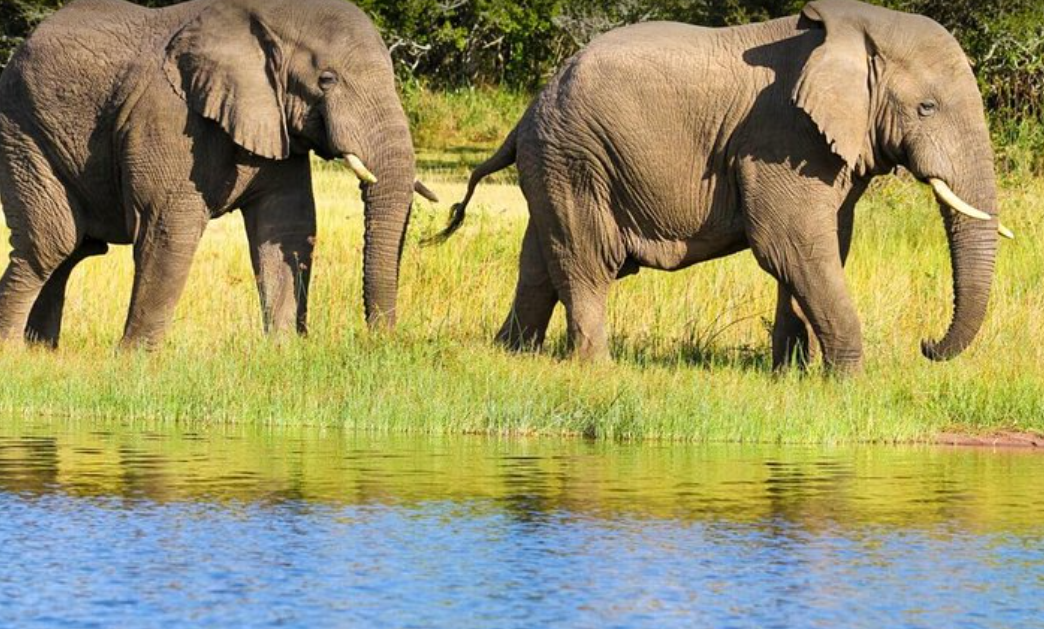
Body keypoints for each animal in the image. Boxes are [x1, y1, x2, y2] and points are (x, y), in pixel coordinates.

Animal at [0, 0, 434, 346]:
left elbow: (286, 226)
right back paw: (14, 355)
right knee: (51, 243)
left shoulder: (272, 117)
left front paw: (283, 350)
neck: (263, 18)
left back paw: (42, 353)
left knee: (72, 250)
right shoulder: (167, 116)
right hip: (22, 130)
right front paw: (135, 363)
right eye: (327, 80)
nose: (379, 341)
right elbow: (169, 227)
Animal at [440, 0, 1010, 371]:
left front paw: (790, 378)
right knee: (586, 263)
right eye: (926, 108)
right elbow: (789, 243)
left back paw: (513, 357)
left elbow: (820, 248)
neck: (855, 29)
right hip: (576, 158)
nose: (926, 346)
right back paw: (596, 371)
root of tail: (527, 112)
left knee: (539, 264)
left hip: (555, 163)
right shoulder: (780, 134)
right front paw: (847, 383)